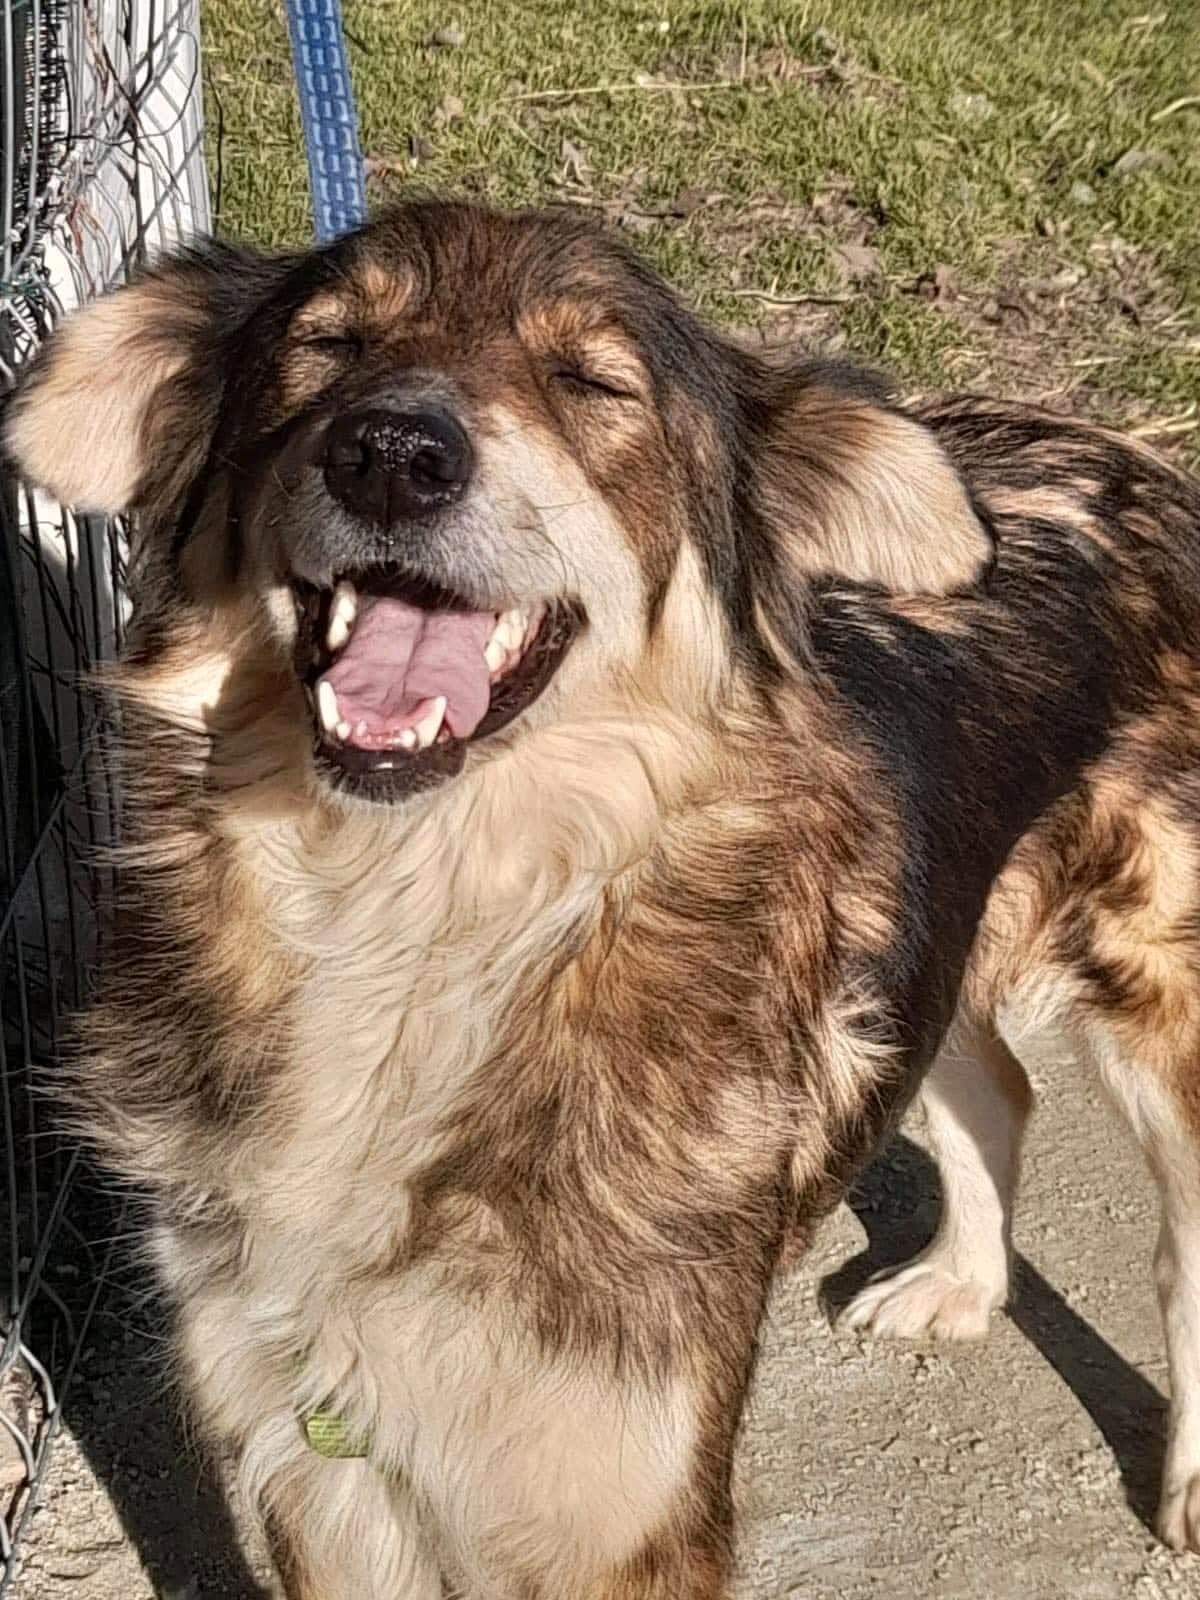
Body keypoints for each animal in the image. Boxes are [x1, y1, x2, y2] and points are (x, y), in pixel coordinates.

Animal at [6, 200, 1200, 1597]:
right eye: (328, 344)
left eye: (591, 382)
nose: (391, 453)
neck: (416, 921)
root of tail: (1125, 448)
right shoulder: (315, 1456)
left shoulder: (628, 1500)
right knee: (996, 1084)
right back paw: (957, 1283)